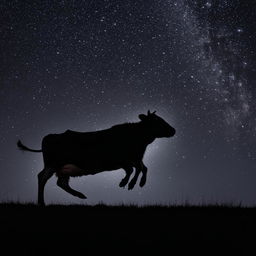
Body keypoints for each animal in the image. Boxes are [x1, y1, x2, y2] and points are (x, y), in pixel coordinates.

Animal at [16, 110, 176, 206]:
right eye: (157, 121)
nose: (173, 130)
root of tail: (50, 136)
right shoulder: (123, 160)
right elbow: (135, 169)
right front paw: (127, 183)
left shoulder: (133, 159)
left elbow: (143, 168)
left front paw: (136, 183)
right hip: (53, 164)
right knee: (42, 177)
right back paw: (41, 202)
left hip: (63, 168)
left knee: (61, 183)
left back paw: (80, 195)